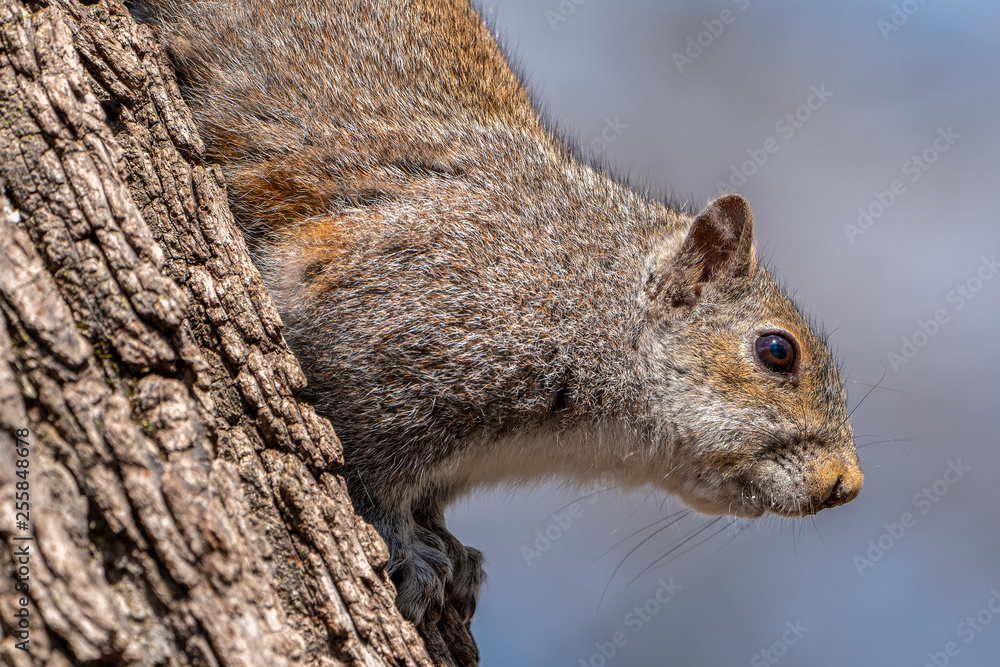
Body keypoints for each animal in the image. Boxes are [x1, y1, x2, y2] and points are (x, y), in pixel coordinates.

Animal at [137, 0, 864, 628]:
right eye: (777, 352)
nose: (847, 485)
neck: (588, 297)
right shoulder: (397, 327)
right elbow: (368, 473)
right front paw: (409, 547)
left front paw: (454, 550)